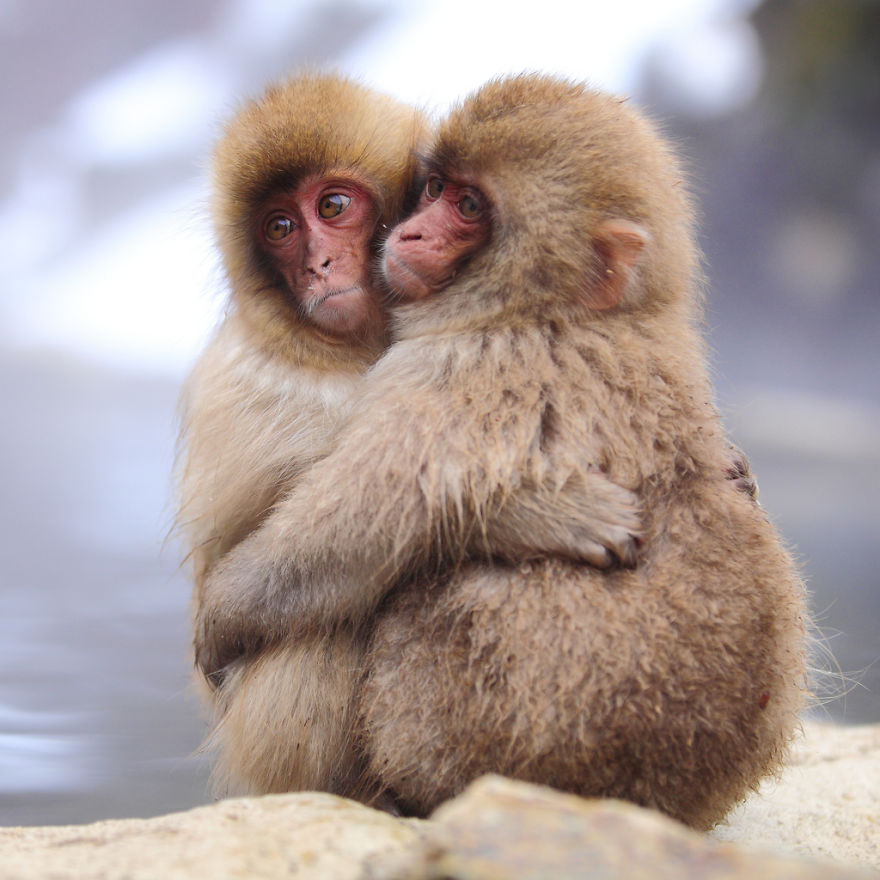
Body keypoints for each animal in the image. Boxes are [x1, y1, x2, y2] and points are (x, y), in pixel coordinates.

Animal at [193, 74, 806, 829]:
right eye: (434, 188)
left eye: (467, 206)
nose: (409, 234)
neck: (557, 311)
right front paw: (544, 512)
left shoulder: (441, 366)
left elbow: (334, 545)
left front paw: (221, 612)